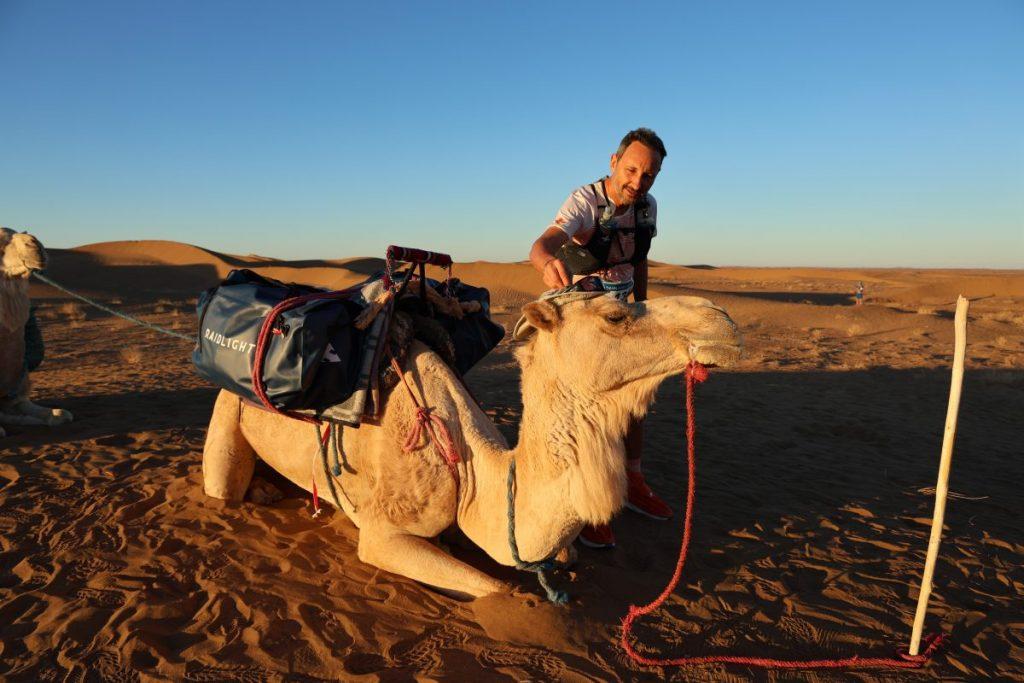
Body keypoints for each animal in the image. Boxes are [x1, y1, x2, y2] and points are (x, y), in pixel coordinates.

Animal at [202, 291, 741, 599]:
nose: (723, 322)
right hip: (227, 411)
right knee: (223, 487)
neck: (473, 472)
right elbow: (495, 587)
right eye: (615, 314)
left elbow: (563, 556)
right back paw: (260, 492)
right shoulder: (384, 532)